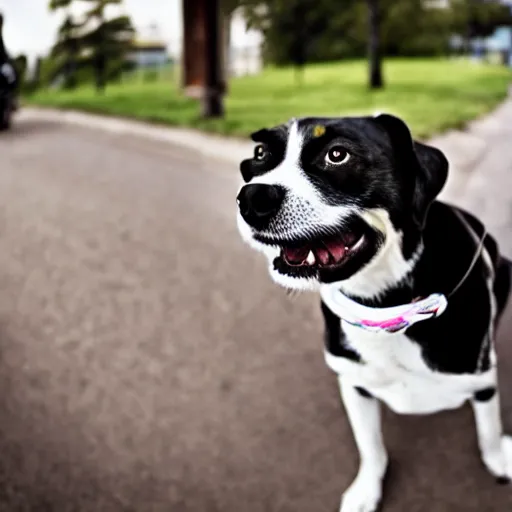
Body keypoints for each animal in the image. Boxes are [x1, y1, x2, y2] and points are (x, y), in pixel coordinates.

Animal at [236, 115, 512, 512]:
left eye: (338, 154)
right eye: (260, 152)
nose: (252, 197)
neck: (386, 307)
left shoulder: (482, 378)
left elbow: (488, 427)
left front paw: (498, 459)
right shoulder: (354, 384)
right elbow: (370, 446)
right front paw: (367, 489)